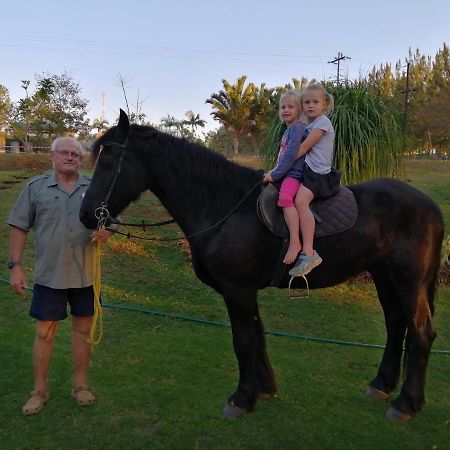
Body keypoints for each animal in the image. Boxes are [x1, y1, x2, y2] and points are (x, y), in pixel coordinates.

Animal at [80, 110, 442, 420]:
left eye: (108, 162)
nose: (86, 215)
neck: (224, 207)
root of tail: (430, 207)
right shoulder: (245, 292)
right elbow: (257, 335)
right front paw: (264, 388)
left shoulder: (237, 290)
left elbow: (243, 341)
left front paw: (242, 398)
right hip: (385, 277)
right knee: (396, 325)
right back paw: (381, 385)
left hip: (409, 282)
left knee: (421, 332)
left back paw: (406, 403)